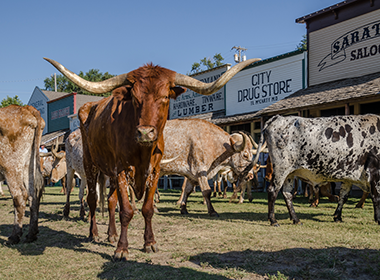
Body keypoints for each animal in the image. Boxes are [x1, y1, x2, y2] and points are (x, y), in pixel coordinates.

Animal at [0, 104, 45, 243]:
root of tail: (25, 108)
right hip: (28, 166)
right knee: (33, 195)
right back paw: (31, 234)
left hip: (9, 166)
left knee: (19, 196)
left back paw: (15, 236)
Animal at [43, 57, 258, 260]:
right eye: (134, 98)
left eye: (165, 97)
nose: (145, 132)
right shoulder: (126, 170)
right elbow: (127, 210)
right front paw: (122, 249)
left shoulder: (156, 171)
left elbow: (150, 207)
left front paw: (150, 242)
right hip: (89, 165)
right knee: (91, 198)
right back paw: (93, 232)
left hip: (109, 173)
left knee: (110, 201)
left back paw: (111, 234)